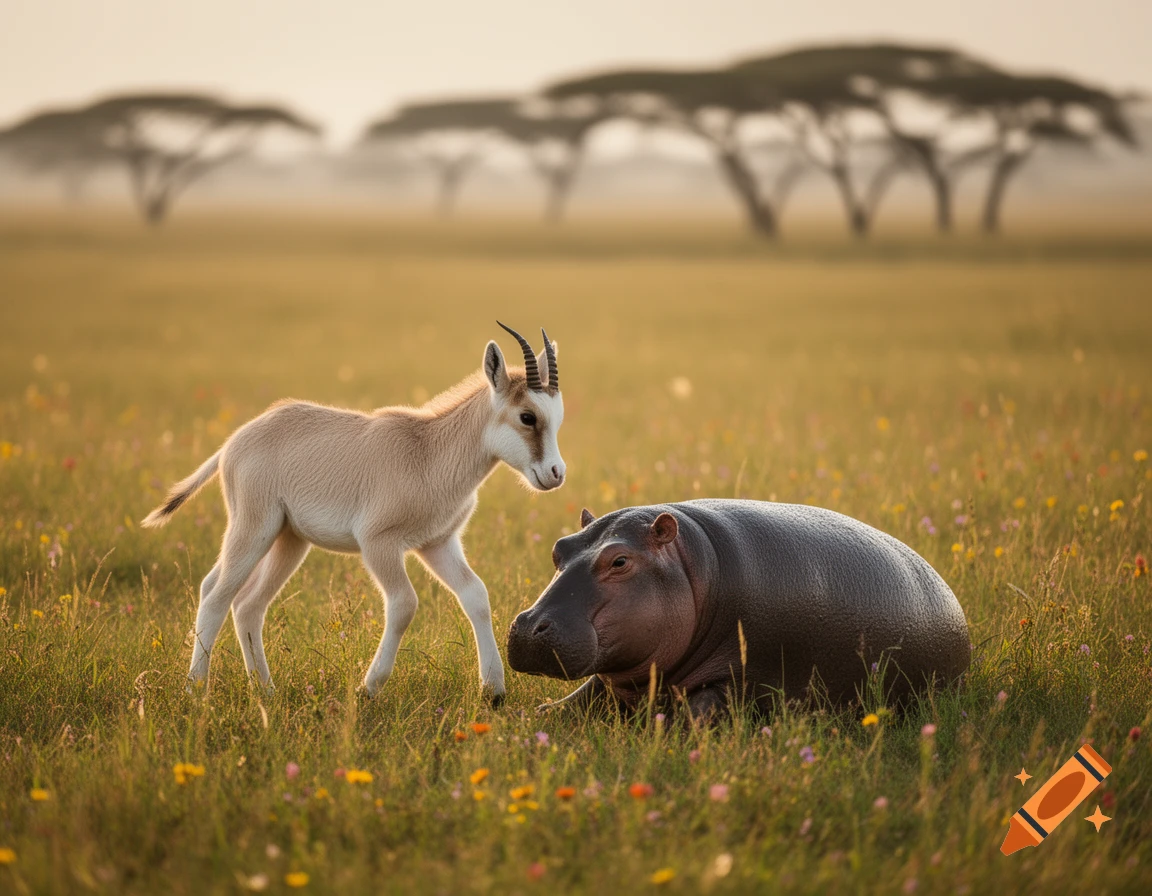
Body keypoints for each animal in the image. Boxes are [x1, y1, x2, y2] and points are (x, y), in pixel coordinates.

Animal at [506, 500, 970, 718]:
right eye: (559, 548)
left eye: (619, 561)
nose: (529, 626)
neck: (693, 564)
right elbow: (580, 699)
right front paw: (537, 713)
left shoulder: (743, 678)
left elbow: (698, 713)